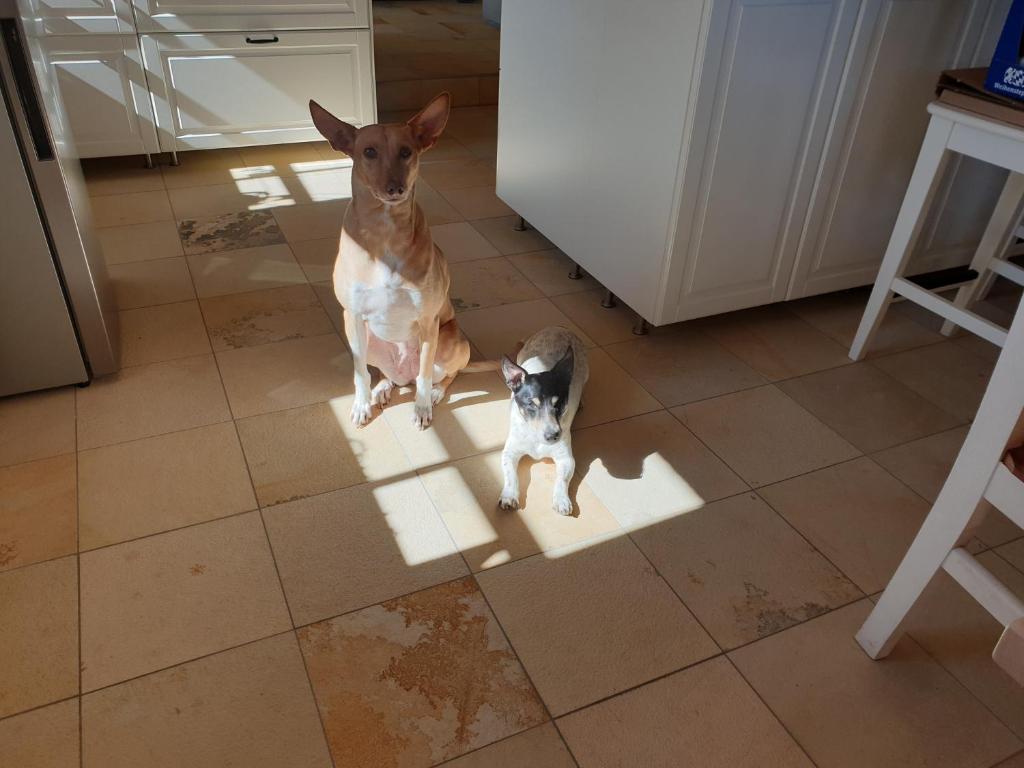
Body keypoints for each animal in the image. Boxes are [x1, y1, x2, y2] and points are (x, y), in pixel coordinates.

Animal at [307, 93, 475, 430]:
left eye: (406, 151)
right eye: (369, 151)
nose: (396, 188)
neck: (385, 233)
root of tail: (402, 372)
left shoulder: (428, 322)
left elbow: (425, 375)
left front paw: (422, 407)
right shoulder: (353, 316)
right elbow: (360, 374)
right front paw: (362, 405)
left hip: (450, 340)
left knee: (441, 374)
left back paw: (435, 392)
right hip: (365, 340)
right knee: (387, 375)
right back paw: (383, 388)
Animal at [497, 325, 589, 518]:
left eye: (559, 403)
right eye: (531, 404)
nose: (553, 436)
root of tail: (558, 327)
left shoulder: (566, 459)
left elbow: (561, 480)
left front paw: (561, 500)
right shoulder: (509, 452)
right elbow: (510, 476)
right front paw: (509, 496)